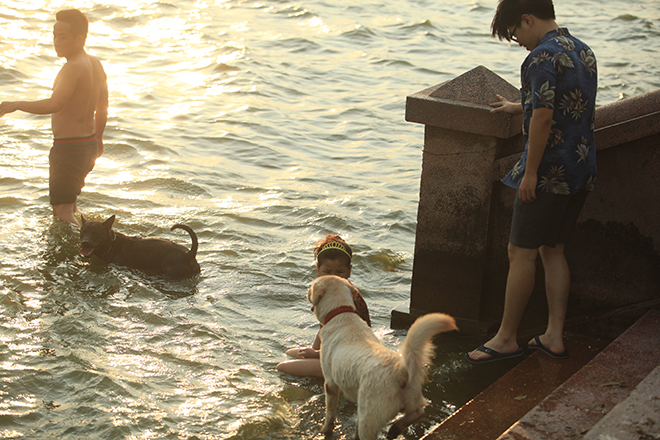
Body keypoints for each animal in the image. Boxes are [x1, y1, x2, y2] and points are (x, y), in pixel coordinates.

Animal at [306, 276, 456, 438]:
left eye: (312, 286)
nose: (307, 291)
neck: (341, 313)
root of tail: (401, 370)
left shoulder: (330, 383)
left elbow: (330, 415)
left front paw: (325, 430)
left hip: (370, 418)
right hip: (411, 398)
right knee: (418, 412)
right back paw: (395, 428)